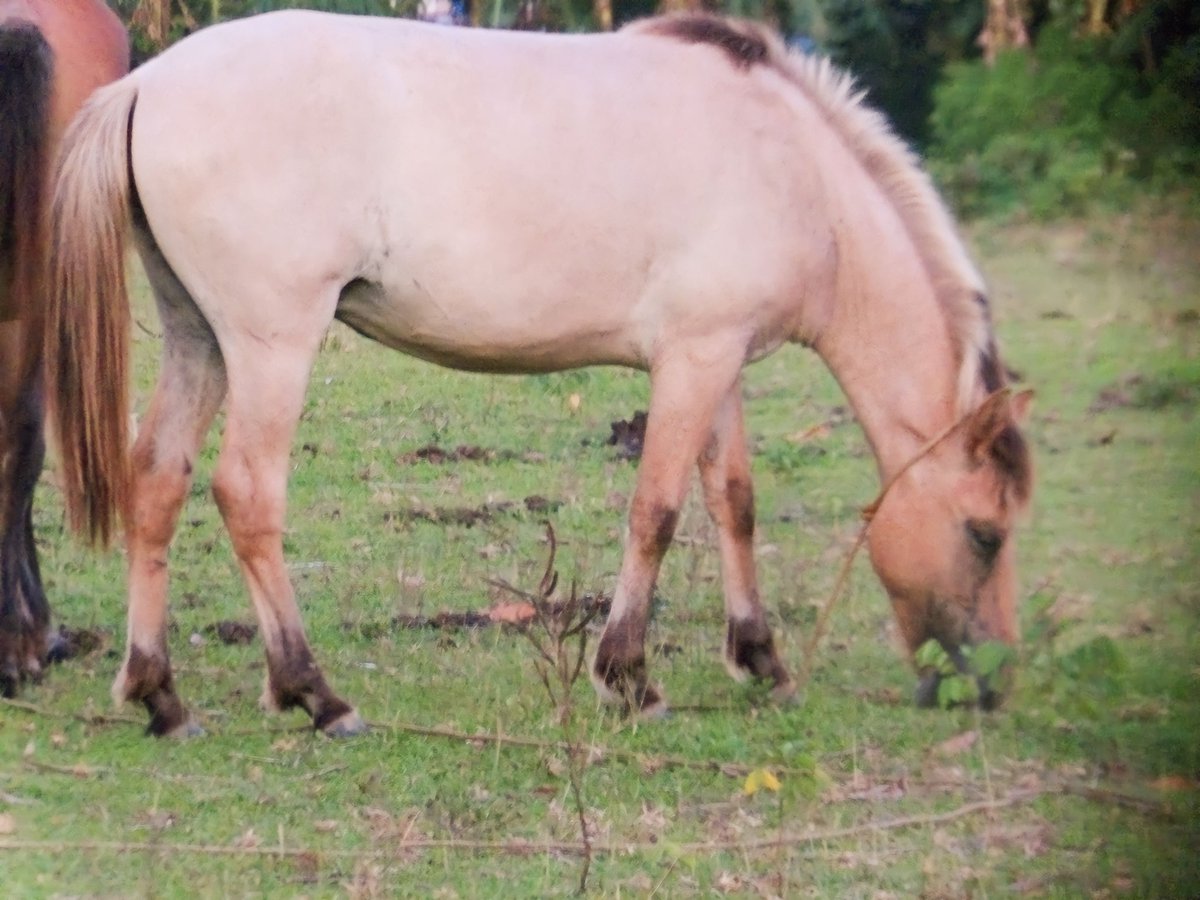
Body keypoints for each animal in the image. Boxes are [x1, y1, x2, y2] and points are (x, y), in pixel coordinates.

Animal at [45, 12, 1033, 737]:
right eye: (984, 534)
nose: (990, 687)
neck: (794, 171)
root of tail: (148, 82)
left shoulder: (717, 359)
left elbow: (734, 502)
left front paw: (760, 659)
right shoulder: (693, 360)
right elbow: (657, 513)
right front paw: (629, 678)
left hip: (198, 337)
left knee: (157, 482)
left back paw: (160, 694)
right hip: (270, 345)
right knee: (246, 493)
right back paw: (314, 694)